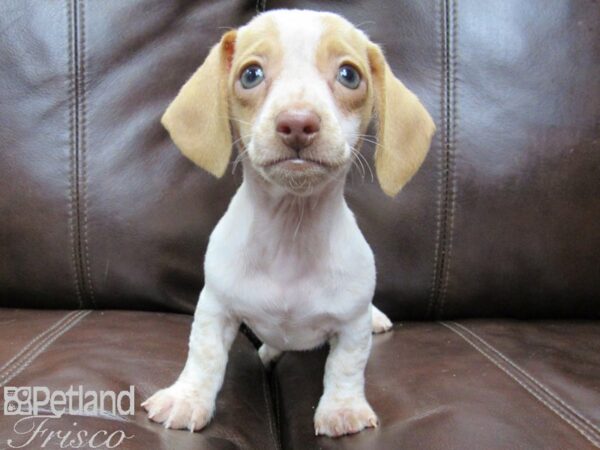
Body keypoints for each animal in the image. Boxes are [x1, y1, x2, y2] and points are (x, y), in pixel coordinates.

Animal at [142, 8, 432, 438]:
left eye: (349, 75)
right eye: (250, 74)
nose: (298, 123)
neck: (290, 235)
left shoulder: (351, 325)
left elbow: (346, 367)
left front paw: (342, 409)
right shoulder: (216, 307)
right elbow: (204, 355)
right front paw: (188, 398)